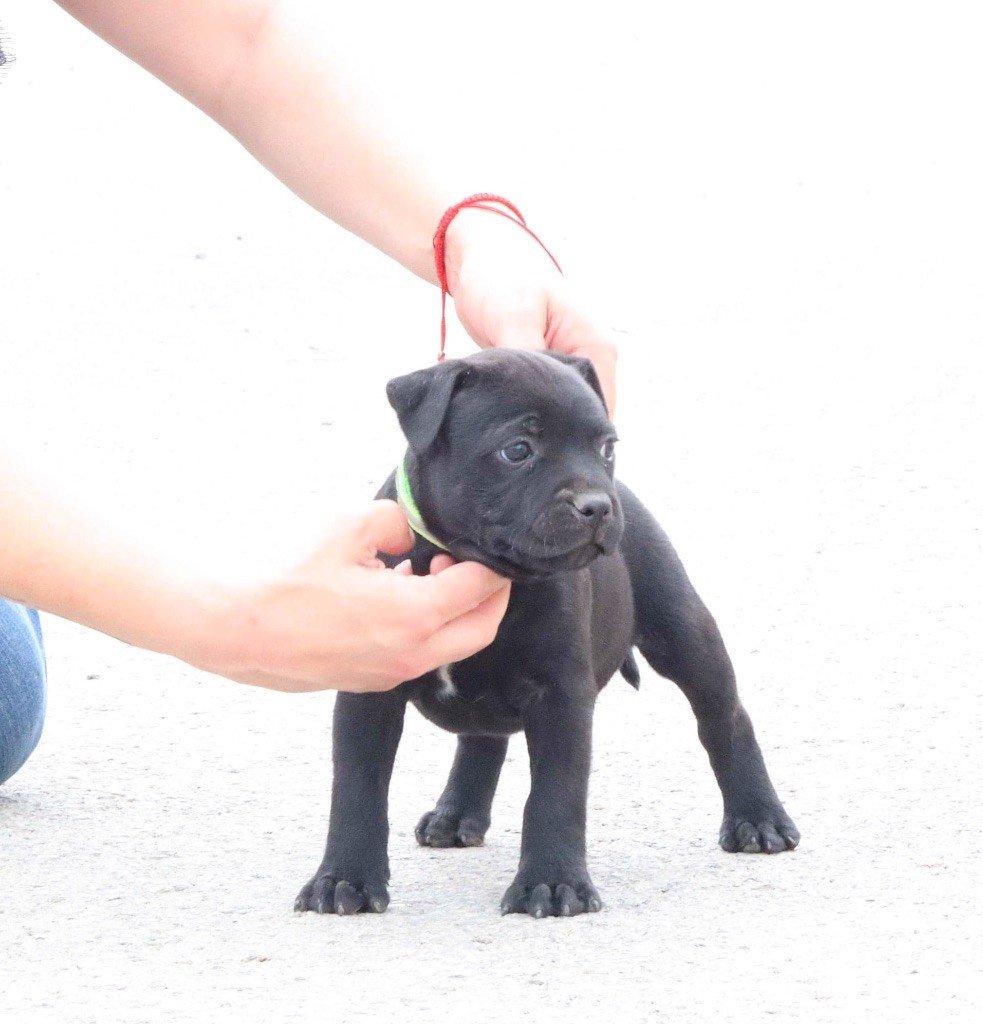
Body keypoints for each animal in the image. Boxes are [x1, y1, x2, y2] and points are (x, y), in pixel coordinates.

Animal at [292, 352, 798, 921]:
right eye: (517, 450)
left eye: (607, 448)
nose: (598, 505)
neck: (476, 564)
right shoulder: (368, 686)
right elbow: (357, 786)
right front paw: (344, 879)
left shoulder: (561, 695)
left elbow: (556, 792)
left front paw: (553, 885)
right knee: (481, 739)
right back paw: (455, 814)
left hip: (685, 632)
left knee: (724, 718)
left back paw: (759, 819)